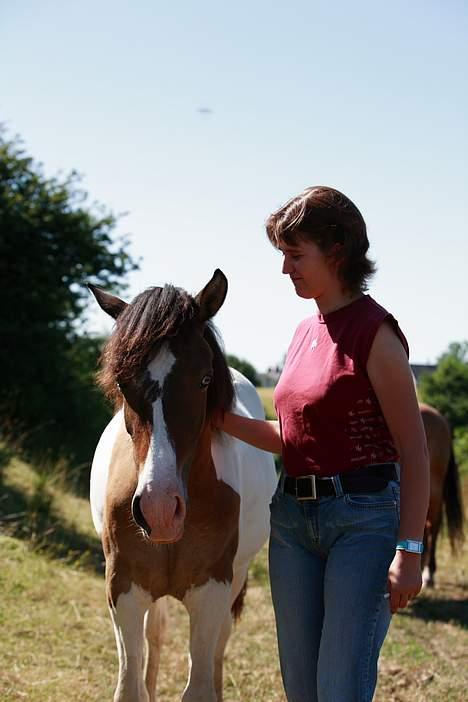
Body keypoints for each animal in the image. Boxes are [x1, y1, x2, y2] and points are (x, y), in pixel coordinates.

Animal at [88, 272, 278, 702]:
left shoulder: (212, 591)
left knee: (220, 644)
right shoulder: (123, 589)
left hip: (236, 578)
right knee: (155, 637)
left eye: (205, 379)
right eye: (122, 382)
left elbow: (201, 682)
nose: (158, 510)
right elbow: (131, 684)